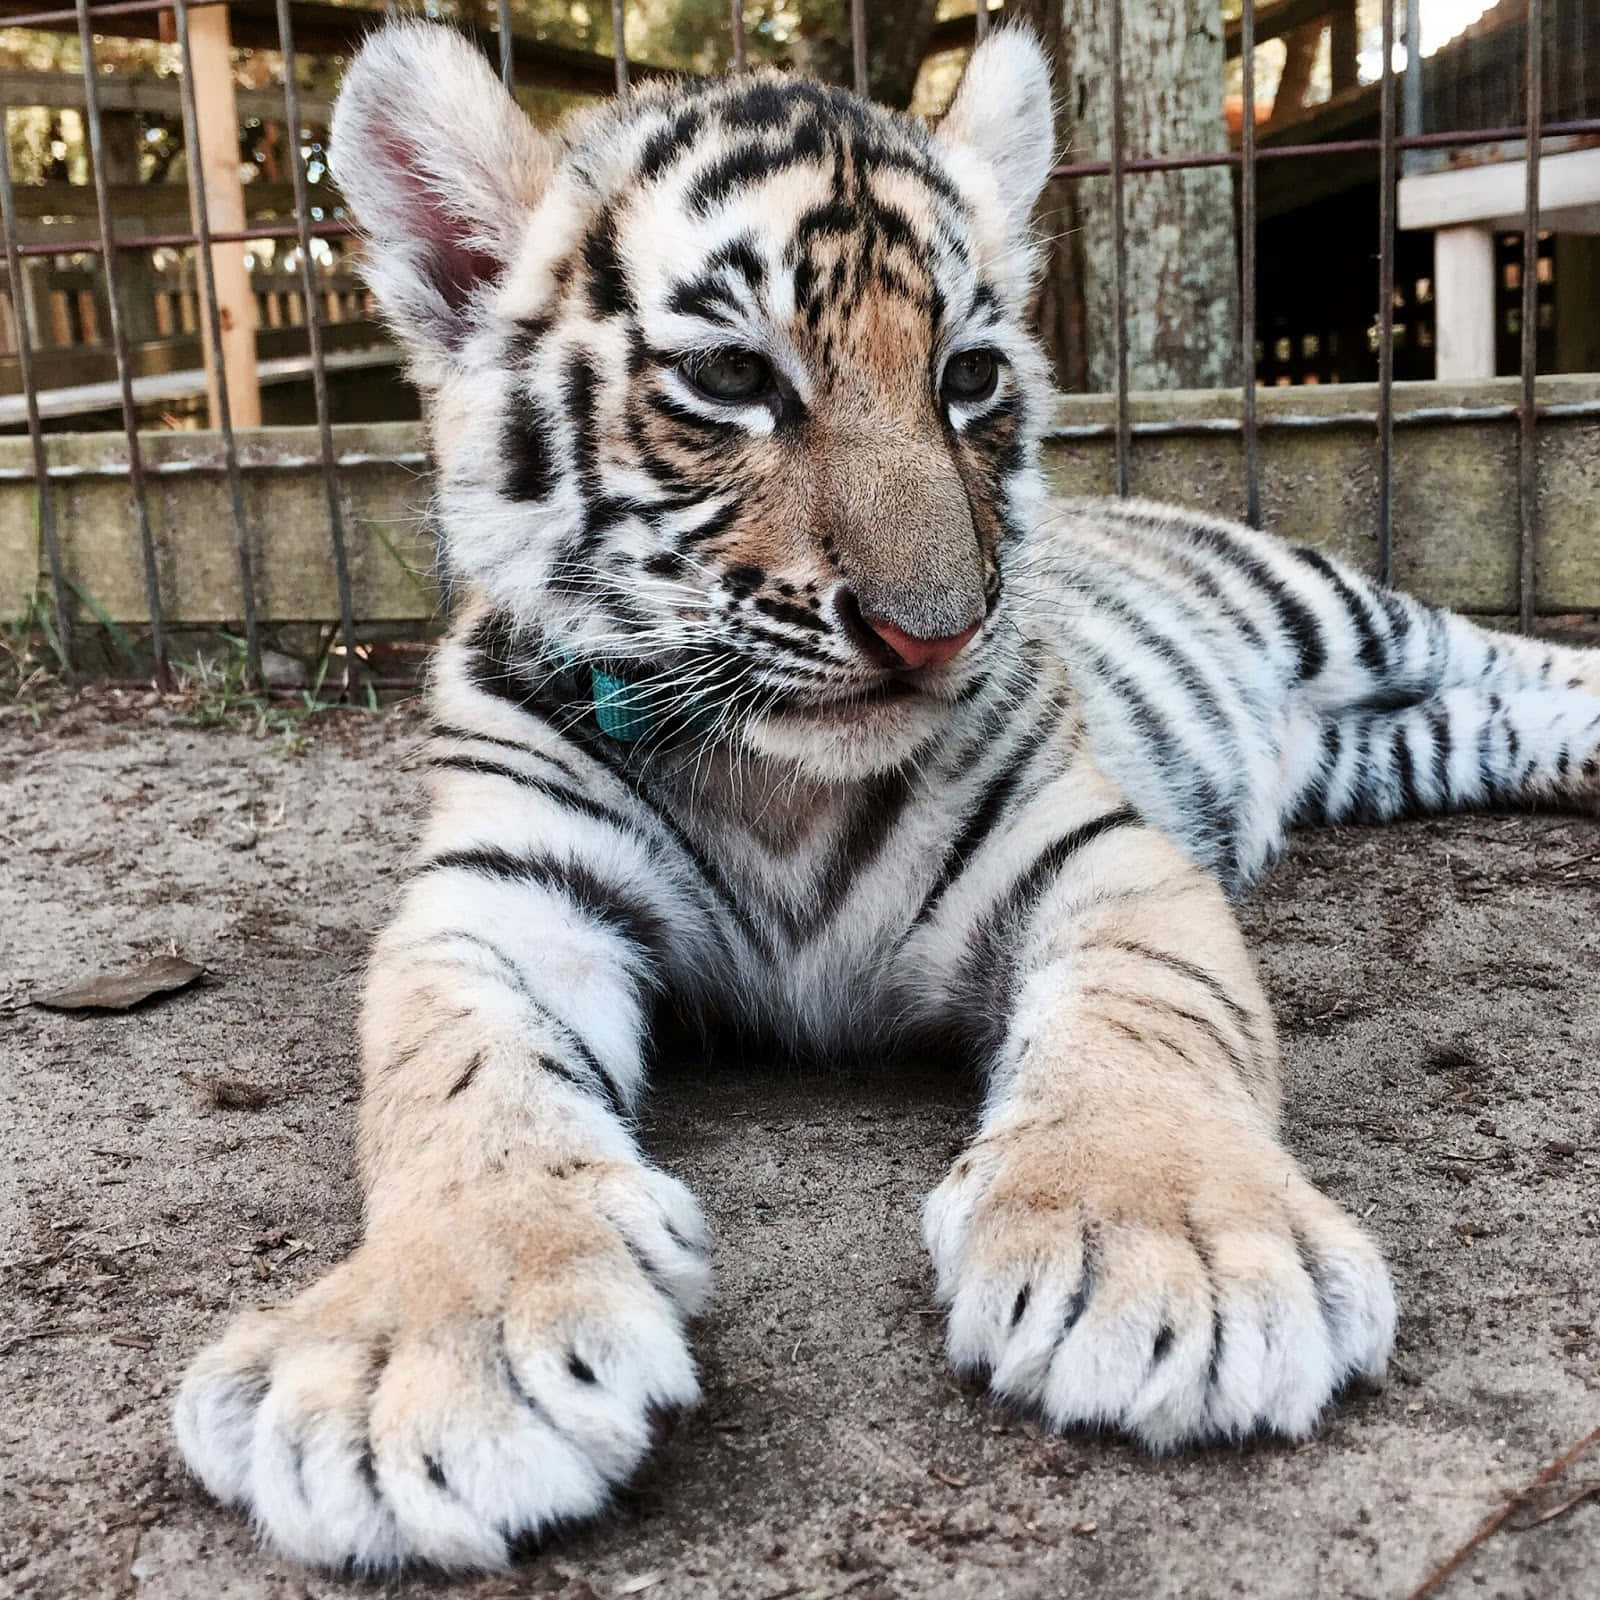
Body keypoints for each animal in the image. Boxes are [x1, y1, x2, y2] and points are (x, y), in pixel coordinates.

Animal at [171, 21, 1600, 1573]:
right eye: (731, 375)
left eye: (968, 375)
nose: (938, 630)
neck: (774, 773)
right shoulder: (499, 901)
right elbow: (452, 1090)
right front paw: (431, 1352)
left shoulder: (1094, 852)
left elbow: (1151, 1020)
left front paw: (1174, 1255)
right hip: (1397, 744)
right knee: (1493, 715)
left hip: (1341, 614)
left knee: (1512, 652)